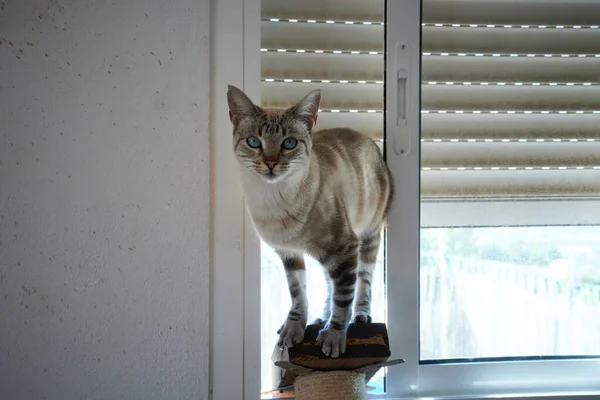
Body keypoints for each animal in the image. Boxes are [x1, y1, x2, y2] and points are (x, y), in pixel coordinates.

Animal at [225, 85, 394, 360]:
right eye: (254, 142)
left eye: (289, 143)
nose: (270, 163)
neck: (274, 204)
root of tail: (369, 141)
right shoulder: (289, 254)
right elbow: (298, 294)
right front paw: (294, 328)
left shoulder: (345, 249)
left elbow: (343, 299)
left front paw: (334, 337)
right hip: (327, 257)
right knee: (329, 284)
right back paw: (320, 319)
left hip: (368, 236)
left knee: (362, 280)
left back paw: (359, 315)